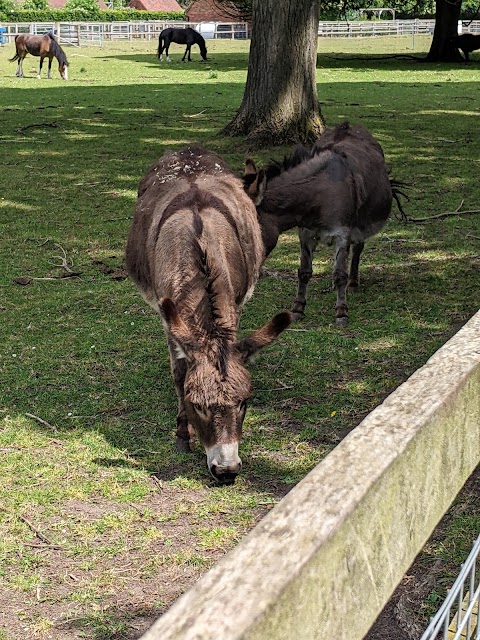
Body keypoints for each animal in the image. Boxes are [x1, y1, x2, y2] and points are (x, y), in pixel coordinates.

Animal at [126, 146, 292, 484]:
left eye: (243, 403)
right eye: (198, 406)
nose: (227, 472)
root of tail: (188, 149)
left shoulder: (234, 309)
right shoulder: (169, 318)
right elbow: (179, 372)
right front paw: (181, 436)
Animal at [246, 123, 400, 328]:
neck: (316, 197)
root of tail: (349, 125)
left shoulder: (342, 234)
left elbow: (340, 273)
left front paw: (341, 312)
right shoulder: (305, 234)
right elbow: (304, 272)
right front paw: (298, 309)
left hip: (361, 224)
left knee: (357, 250)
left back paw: (352, 283)